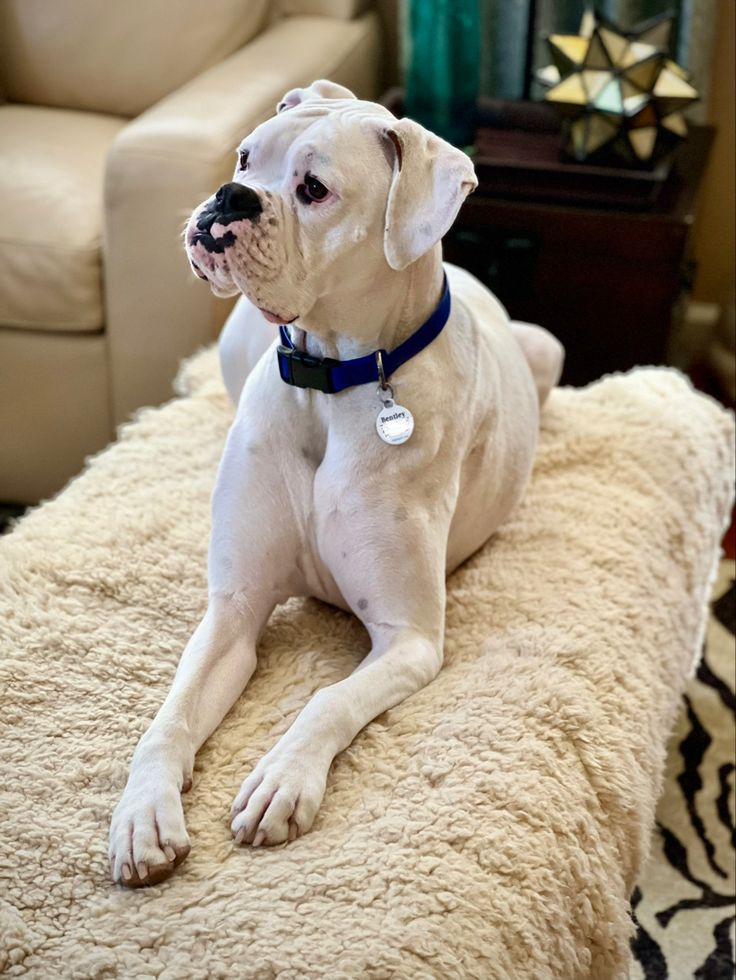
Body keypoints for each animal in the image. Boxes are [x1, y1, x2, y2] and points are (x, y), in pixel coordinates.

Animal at [108, 80, 564, 884]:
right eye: (245, 158)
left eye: (314, 189)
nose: (229, 197)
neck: (332, 382)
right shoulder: (232, 613)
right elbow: (170, 716)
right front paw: (143, 813)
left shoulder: (409, 641)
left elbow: (327, 700)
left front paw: (283, 779)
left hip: (548, 349)